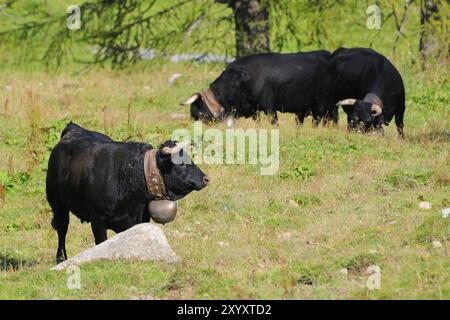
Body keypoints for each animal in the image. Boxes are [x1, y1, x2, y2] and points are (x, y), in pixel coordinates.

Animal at [45, 122, 207, 262]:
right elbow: (100, 243)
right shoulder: (97, 218)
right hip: (57, 203)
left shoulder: (139, 219)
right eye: (181, 163)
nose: (205, 178)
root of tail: (74, 128)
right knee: (62, 229)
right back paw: (60, 258)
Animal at [183, 50, 334, 125]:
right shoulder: (253, 109)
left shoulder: (269, 106)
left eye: (197, 113)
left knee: (321, 119)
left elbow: (274, 122)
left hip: (322, 103)